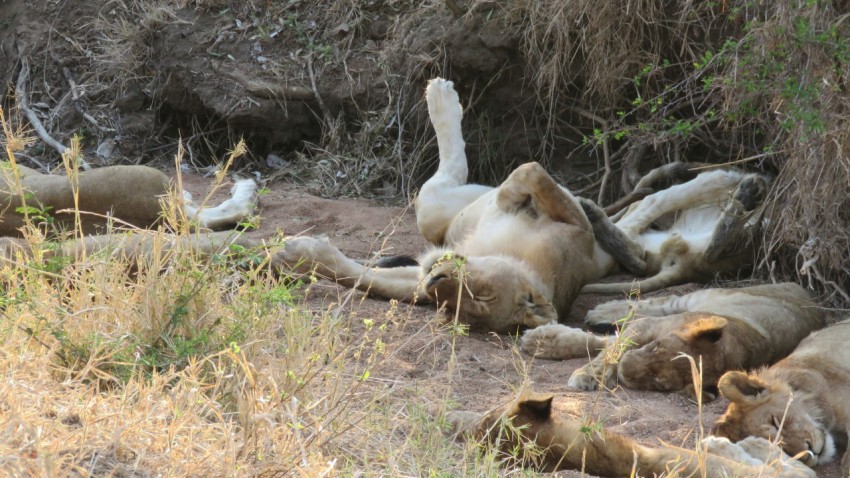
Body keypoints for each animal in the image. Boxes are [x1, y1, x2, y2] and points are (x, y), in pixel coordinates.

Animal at [275, 78, 771, 332]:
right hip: (441, 213)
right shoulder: (420, 274)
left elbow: (531, 171)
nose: (437, 280)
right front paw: (299, 255)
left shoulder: (571, 232)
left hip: (447, 205)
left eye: (479, 300)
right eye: (453, 303)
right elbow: (358, 276)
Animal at [521, 283, 825, 399]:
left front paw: (543, 341)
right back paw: (600, 312)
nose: (626, 372)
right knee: (651, 302)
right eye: (657, 347)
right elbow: (611, 349)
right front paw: (588, 375)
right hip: (698, 297)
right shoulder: (647, 327)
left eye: (660, 384)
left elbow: (608, 347)